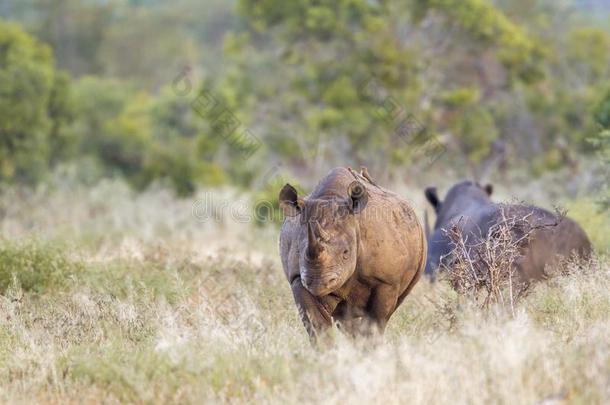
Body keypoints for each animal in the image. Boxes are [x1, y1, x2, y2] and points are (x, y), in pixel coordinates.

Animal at [280, 166, 426, 340]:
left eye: (346, 252)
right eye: (299, 251)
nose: (317, 282)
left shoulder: (387, 281)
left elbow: (375, 322)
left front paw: (369, 345)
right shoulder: (297, 278)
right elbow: (317, 325)